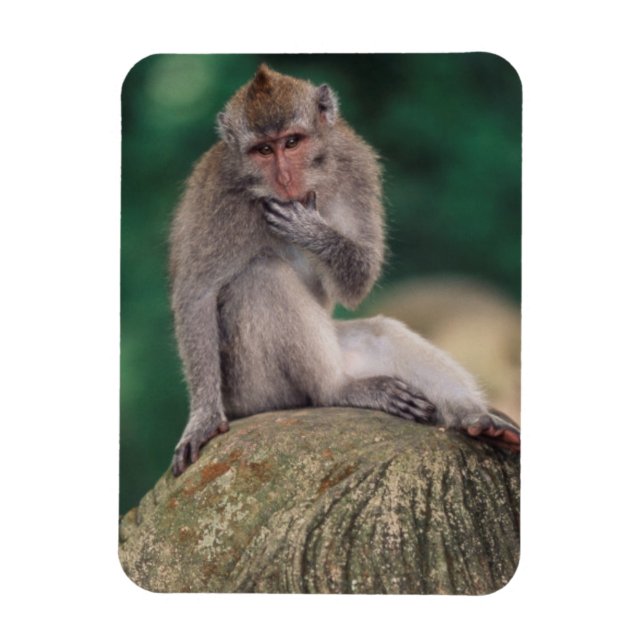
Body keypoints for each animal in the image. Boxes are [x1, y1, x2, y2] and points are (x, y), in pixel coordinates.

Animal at [169, 64, 519, 476]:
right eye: (264, 150)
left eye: (292, 142)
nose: (284, 179)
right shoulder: (219, 198)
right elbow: (197, 295)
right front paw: (204, 418)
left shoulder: (356, 165)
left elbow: (359, 277)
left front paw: (310, 230)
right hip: (255, 390)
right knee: (262, 277)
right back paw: (335, 390)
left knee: (381, 333)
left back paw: (476, 418)